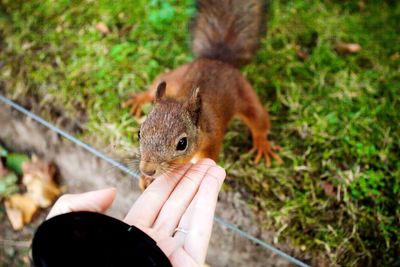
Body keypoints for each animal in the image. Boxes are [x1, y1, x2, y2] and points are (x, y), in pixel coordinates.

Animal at [123, 0, 282, 191]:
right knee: (158, 82)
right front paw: (146, 179)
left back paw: (263, 145)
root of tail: (217, 60)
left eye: (182, 144)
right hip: (176, 76)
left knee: (258, 120)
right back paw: (139, 100)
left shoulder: (211, 145)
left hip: (244, 93)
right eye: (139, 133)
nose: (147, 170)